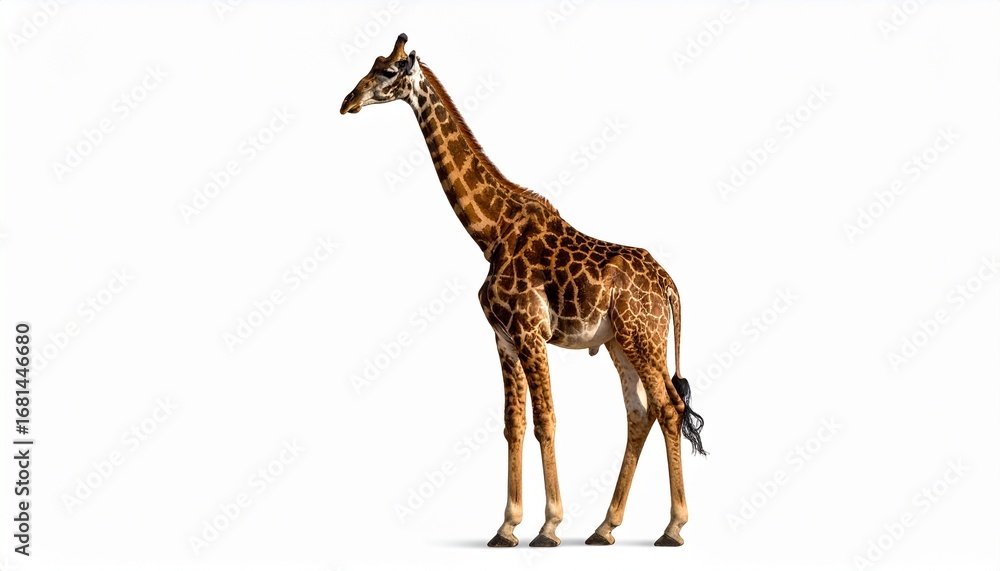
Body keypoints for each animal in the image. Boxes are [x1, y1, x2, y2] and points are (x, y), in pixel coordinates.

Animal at [341, 34, 707, 548]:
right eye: (373, 63)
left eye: (390, 71)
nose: (347, 102)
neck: (491, 232)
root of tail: (670, 285)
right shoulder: (503, 338)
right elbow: (513, 424)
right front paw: (507, 527)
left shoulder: (532, 333)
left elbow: (544, 421)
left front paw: (549, 527)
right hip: (619, 342)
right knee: (641, 413)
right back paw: (605, 527)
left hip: (645, 338)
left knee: (670, 408)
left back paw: (672, 528)